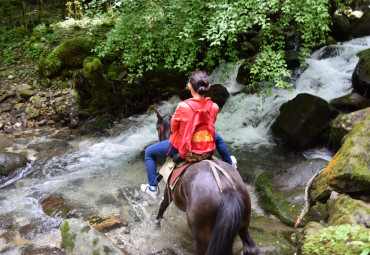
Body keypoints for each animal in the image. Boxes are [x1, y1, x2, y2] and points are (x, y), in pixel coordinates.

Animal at [153, 112, 258, 255]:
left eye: (157, 128)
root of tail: (225, 188)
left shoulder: (168, 191)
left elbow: (162, 206)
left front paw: (157, 224)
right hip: (243, 222)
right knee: (249, 247)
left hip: (200, 232)